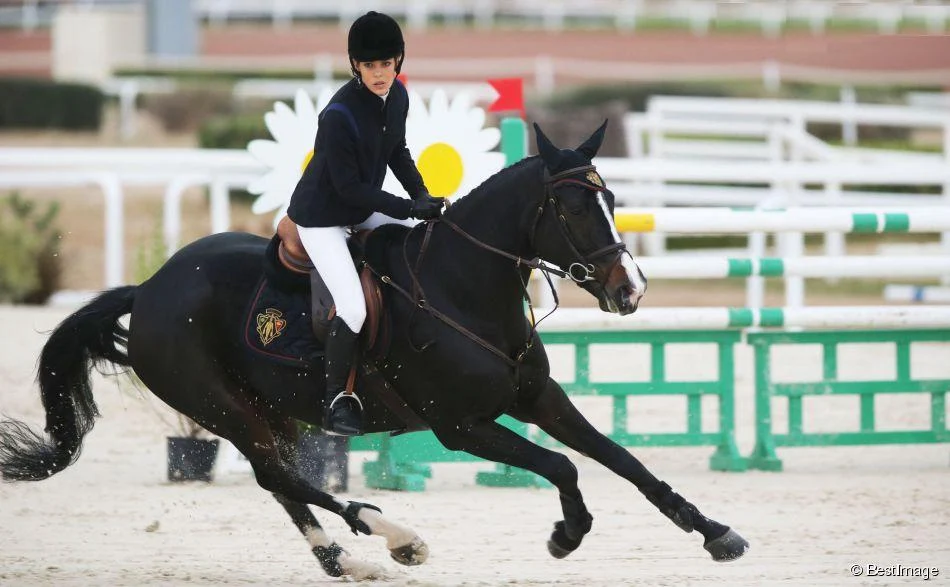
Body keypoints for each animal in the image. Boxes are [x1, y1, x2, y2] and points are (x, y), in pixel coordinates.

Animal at [0, 121, 752, 580]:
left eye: (613, 199)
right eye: (570, 211)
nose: (631, 291)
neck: (463, 287)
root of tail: (149, 288)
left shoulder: (539, 396)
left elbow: (622, 459)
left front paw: (716, 531)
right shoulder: (461, 426)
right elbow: (562, 465)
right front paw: (568, 533)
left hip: (264, 409)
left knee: (283, 482)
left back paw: (348, 561)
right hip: (220, 407)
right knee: (280, 476)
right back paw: (392, 536)